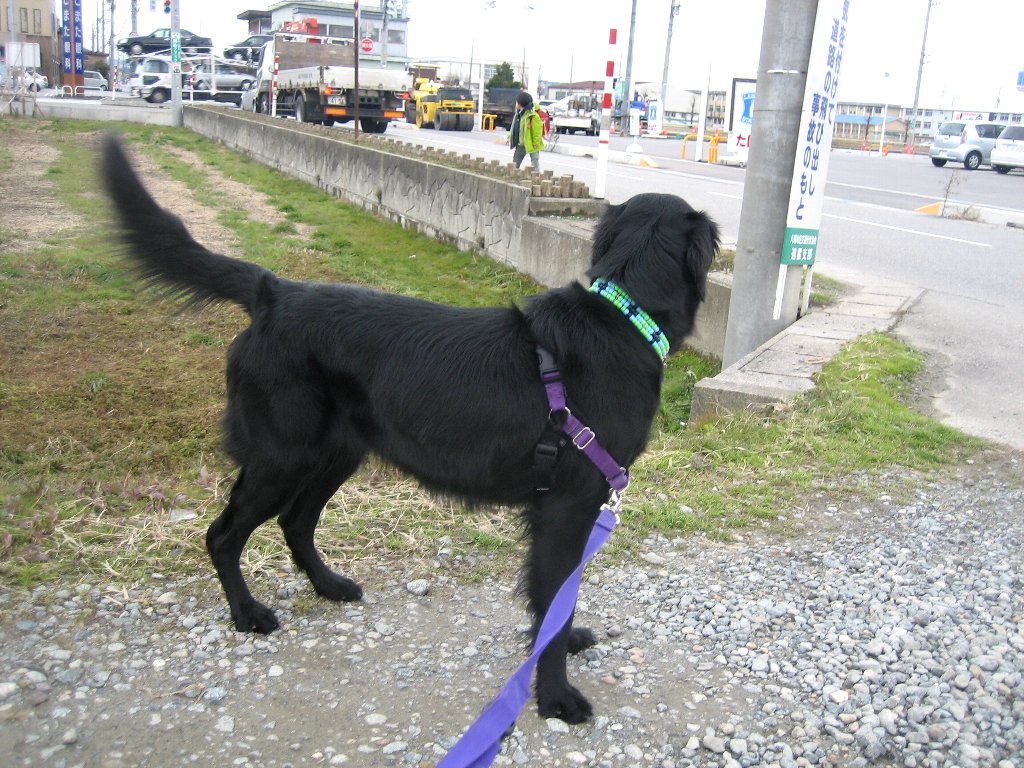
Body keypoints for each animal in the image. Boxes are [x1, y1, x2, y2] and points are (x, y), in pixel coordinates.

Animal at [100, 134, 719, 723]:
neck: (622, 317)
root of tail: (273, 293)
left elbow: (551, 601)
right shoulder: (569, 505)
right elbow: (556, 601)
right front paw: (556, 696)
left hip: (334, 454)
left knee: (296, 523)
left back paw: (329, 586)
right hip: (281, 457)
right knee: (224, 535)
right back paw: (248, 614)